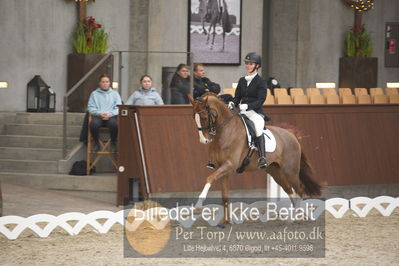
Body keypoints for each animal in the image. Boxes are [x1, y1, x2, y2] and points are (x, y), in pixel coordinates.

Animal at [189, 93, 324, 224]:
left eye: (204, 118)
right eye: (194, 119)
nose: (204, 140)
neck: (225, 132)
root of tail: (292, 134)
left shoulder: (229, 165)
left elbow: (209, 179)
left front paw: (198, 205)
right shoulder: (222, 168)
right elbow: (224, 194)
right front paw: (226, 221)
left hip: (290, 171)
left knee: (299, 190)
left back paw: (296, 217)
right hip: (275, 171)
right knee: (289, 190)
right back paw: (293, 217)